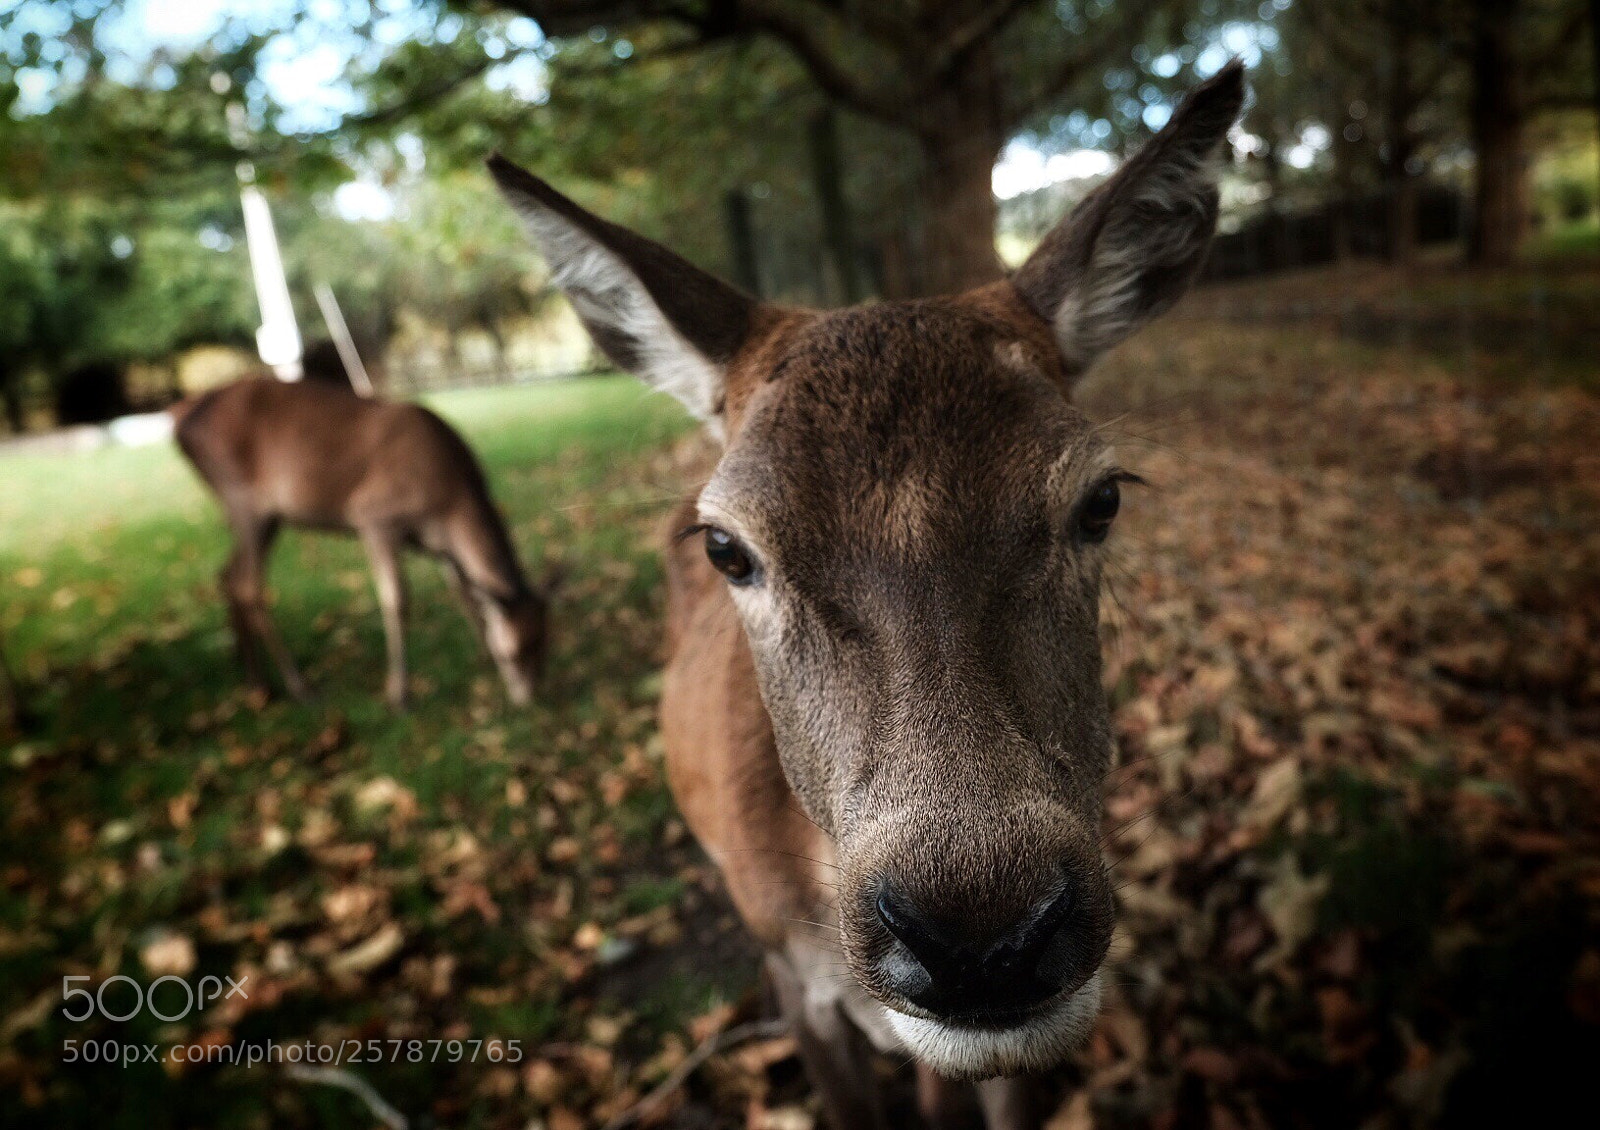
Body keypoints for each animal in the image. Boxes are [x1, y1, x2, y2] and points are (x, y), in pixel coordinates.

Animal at [173, 376, 547, 710]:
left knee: (226, 575)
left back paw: (254, 679)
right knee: (248, 586)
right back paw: (300, 687)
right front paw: (399, 695)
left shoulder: (439, 545)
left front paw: (481, 657)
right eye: (514, 653)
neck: (451, 504)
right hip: (245, 501)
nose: (529, 699)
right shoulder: (374, 518)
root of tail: (181, 427)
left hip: (261, 516)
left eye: (545, 642)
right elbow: (397, 601)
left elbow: (465, 593)